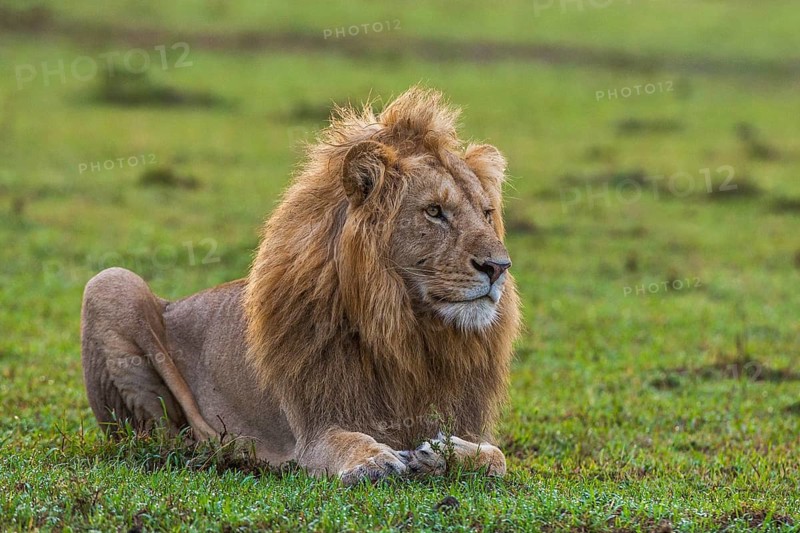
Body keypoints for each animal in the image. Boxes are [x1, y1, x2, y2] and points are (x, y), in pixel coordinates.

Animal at [81, 86, 521, 484]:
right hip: (110, 282)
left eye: (487, 213)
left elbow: (496, 457)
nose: (498, 267)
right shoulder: (313, 430)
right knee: (157, 435)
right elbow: (345, 441)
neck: (407, 332)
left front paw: (444, 452)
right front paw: (374, 461)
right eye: (434, 211)